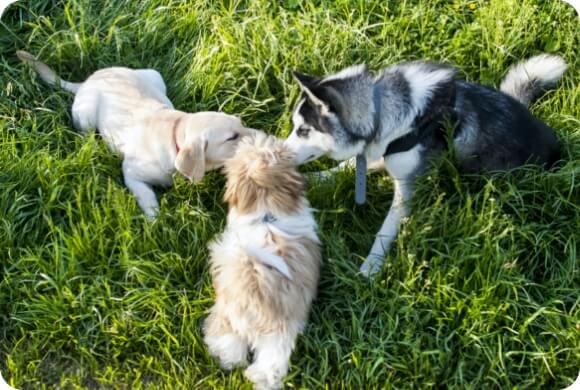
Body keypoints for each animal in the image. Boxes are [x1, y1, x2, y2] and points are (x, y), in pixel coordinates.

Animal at [18, 50, 255, 218]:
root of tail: (88, 80)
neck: (175, 135)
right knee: (85, 133)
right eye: (231, 137)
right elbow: (147, 196)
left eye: (241, 124)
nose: (260, 135)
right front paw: (154, 220)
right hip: (85, 116)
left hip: (153, 74)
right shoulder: (131, 173)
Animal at [204, 135, 322, 390]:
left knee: (226, 339)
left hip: (227, 313)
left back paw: (227, 359)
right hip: (279, 330)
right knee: (271, 361)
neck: (266, 212)